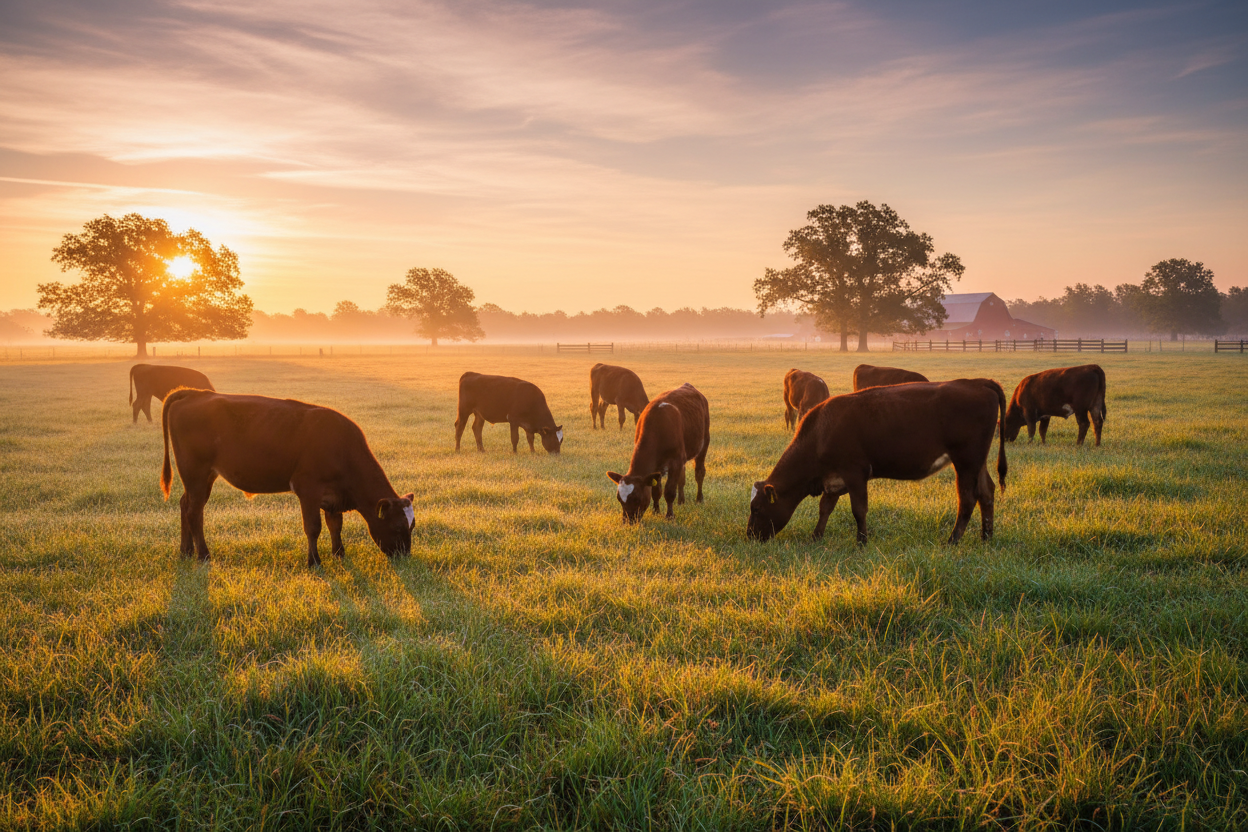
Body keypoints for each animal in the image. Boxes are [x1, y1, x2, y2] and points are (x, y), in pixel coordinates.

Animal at [160, 389, 414, 567]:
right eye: (398, 527)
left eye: (412, 527)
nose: (405, 557)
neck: (341, 447)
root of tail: (195, 393)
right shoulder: (308, 489)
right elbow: (313, 527)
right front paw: (314, 562)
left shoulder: (333, 496)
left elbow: (335, 526)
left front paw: (339, 554)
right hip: (195, 473)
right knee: (195, 512)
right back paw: (203, 555)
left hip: (202, 478)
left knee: (186, 505)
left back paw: (186, 552)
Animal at [606, 383, 709, 522]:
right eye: (619, 499)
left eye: (636, 498)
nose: (628, 521)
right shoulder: (657, 468)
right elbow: (656, 491)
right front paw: (656, 511)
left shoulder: (675, 462)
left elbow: (669, 491)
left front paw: (670, 515)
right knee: (682, 479)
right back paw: (681, 501)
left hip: (704, 444)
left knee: (699, 473)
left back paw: (699, 498)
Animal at [748, 379, 1007, 546]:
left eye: (756, 508)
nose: (750, 536)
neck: (821, 431)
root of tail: (978, 382)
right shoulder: (833, 479)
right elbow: (825, 508)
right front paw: (816, 537)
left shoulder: (854, 473)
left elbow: (859, 510)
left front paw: (861, 542)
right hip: (977, 461)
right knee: (986, 492)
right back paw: (986, 537)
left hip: (966, 460)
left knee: (968, 499)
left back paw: (953, 540)